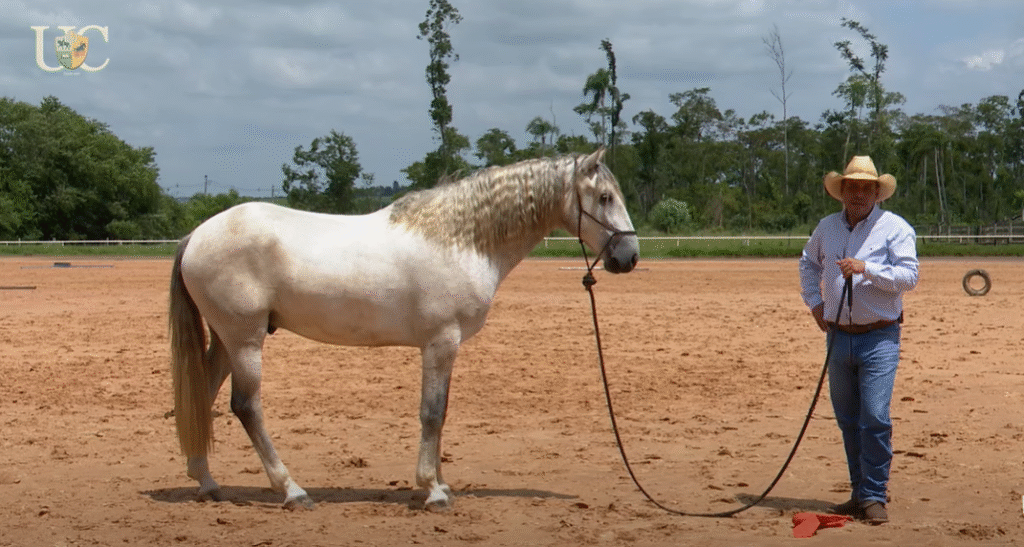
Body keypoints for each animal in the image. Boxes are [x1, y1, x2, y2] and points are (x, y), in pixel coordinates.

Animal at [168, 148, 639, 510]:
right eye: (604, 197)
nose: (629, 256)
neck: (460, 239)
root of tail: (196, 235)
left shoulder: (444, 347)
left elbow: (441, 413)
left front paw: (440, 482)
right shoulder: (441, 342)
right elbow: (432, 413)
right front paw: (433, 491)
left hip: (226, 342)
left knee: (203, 395)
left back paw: (207, 483)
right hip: (245, 341)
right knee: (246, 406)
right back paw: (292, 491)